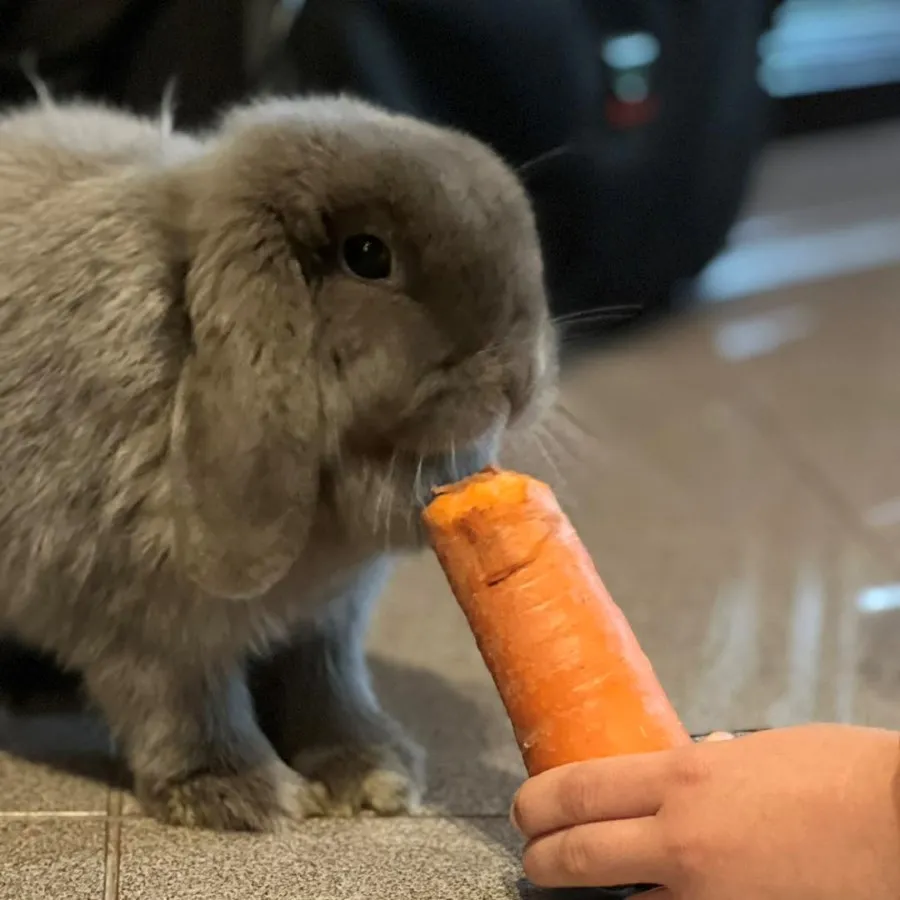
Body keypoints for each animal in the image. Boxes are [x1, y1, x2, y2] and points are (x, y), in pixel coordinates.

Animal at [0, 93, 556, 831]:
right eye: (368, 255)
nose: (518, 378)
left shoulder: (325, 623)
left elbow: (326, 687)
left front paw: (372, 773)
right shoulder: (148, 630)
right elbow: (183, 704)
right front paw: (240, 794)